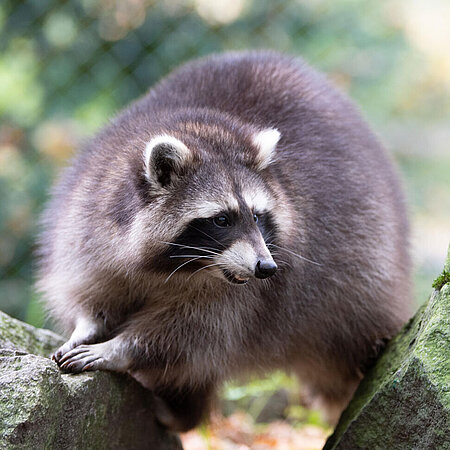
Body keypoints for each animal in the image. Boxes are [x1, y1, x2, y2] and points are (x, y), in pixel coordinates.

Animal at [37, 50, 412, 432]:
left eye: (258, 217)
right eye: (221, 219)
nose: (266, 267)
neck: (176, 267)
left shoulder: (250, 298)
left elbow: (193, 335)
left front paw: (121, 347)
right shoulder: (89, 218)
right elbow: (91, 289)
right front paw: (87, 326)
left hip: (364, 255)